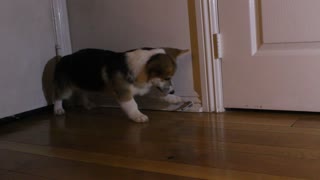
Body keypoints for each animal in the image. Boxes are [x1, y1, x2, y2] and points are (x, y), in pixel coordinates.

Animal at [52, 47, 188, 123]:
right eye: (167, 77)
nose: (173, 91)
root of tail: (63, 57)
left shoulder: (145, 88)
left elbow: (159, 93)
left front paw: (174, 98)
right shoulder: (124, 93)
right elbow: (132, 104)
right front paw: (138, 116)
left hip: (85, 83)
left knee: (82, 92)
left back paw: (88, 104)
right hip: (65, 88)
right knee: (58, 96)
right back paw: (58, 109)